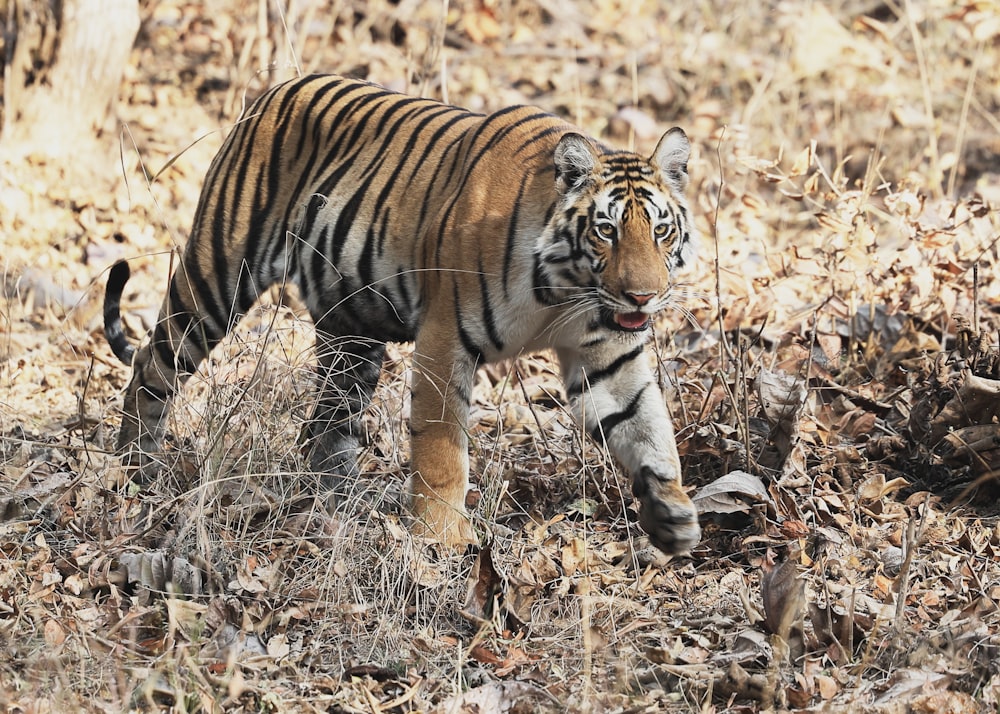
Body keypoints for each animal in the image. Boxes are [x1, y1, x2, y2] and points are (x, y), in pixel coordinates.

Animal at [105, 71, 704, 552]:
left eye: (660, 230)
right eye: (606, 230)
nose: (644, 297)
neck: (564, 292)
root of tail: (275, 89)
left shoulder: (609, 357)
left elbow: (648, 427)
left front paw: (672, 512)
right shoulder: (446, 338)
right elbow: (441, 447)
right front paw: (443, 538)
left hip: (351, 335)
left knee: (327, 428)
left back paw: (344, 502)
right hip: (219, 274)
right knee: (154, 364)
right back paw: (137, 466)